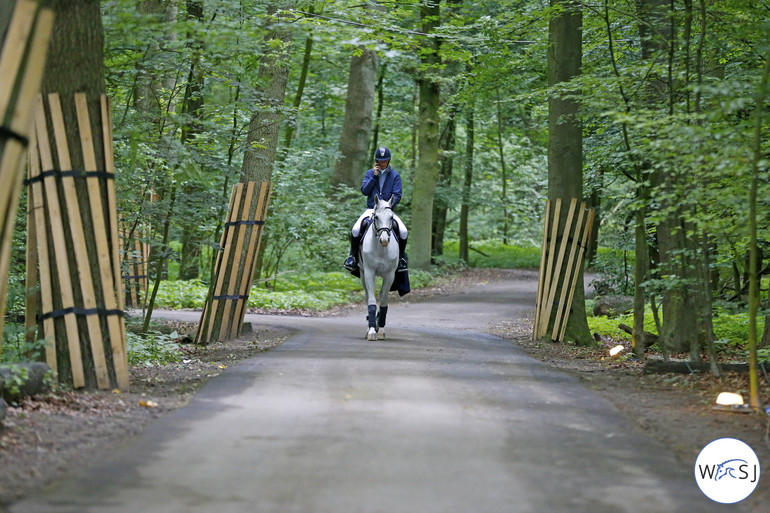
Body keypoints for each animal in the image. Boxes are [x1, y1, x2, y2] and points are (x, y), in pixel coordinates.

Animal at [358, 195, 400, 340]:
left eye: (391, 217)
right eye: (376, 217)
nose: (384, 240)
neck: (381, 250)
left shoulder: (390, 274)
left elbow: (383, 301)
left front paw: (380, 329)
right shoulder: (369, 272)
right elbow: (371, 300)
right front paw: (371, 331)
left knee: (381, 294)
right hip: (363, 274)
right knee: (367, 296)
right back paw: (369, 328)